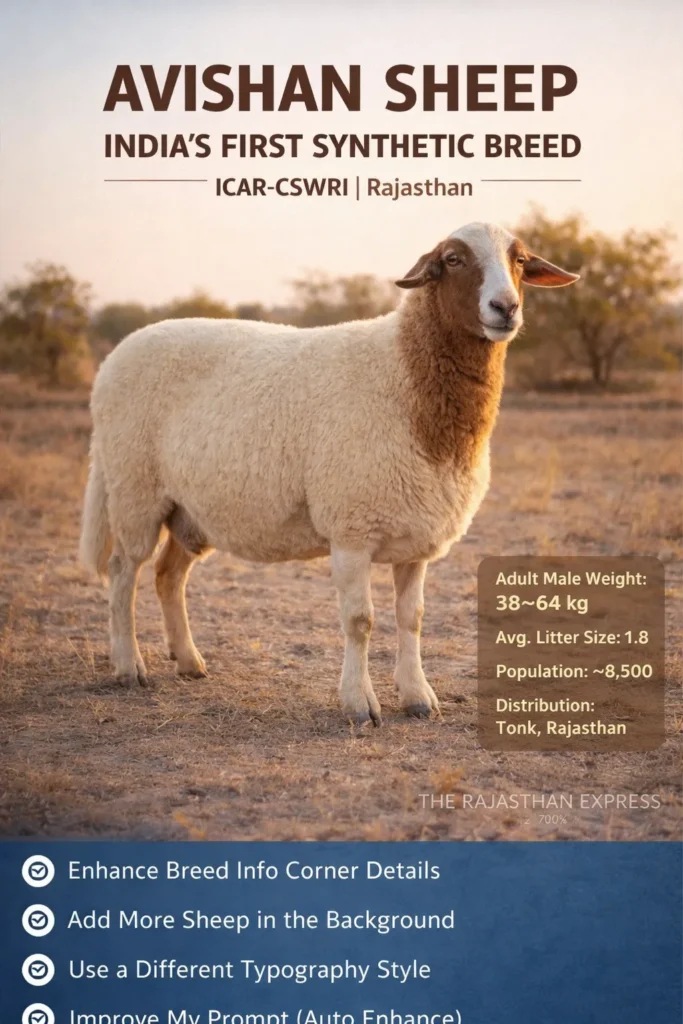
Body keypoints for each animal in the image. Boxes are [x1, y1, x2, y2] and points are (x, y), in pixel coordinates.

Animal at [80, 222, 578, 726]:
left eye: (520, 260)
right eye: (453, 260)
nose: (505, 307)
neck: (406, 376)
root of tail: (118, 353)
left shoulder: (417, 532)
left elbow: (412, 617)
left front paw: (418, 696)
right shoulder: (352, 528)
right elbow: (360, 621)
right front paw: (359, 705)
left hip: (190, 508)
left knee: (168, 575)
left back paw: (189, 661)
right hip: (134, 487)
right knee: (124, 571)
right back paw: (128, 666)